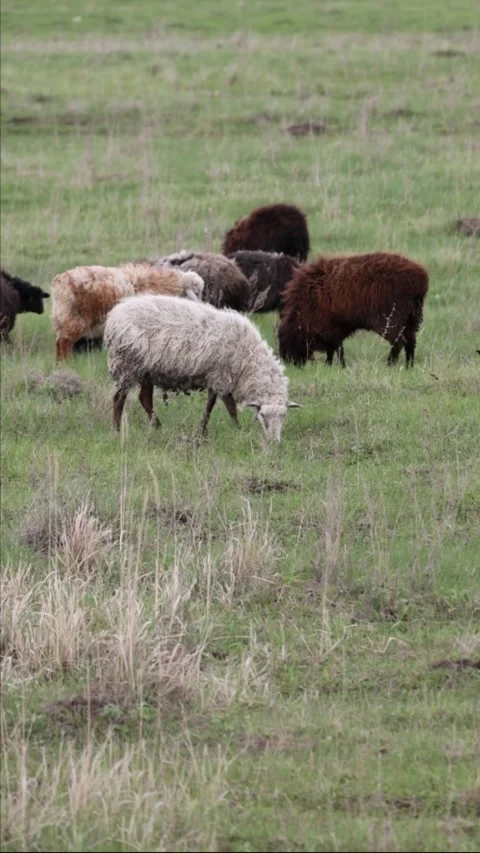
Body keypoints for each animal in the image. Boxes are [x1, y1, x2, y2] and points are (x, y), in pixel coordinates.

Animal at [51, 263, 204, 360]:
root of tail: (59, 282)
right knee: (64, 344)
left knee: (59, 345)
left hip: (62, 319)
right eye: (196, 292)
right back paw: (66, 364)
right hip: (74, 319)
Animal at [104, 294, 301, 442]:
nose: (274, 442)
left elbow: (214, 406)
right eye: (263, 417)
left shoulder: (217, 377)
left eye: (284, 416)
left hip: (146, 370)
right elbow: (225, 406)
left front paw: (207, 429)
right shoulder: (220, 376)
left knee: (145, 399)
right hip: (127, 364)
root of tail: (115, 315)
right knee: (118, 399)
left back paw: (157, 426)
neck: (248, 360)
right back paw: (116, 429)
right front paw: (233, 428)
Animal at [277, 252, 429, 368]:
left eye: (288, 338)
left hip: (391, 320)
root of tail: (420, 278)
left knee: (399, 342)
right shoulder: (336, 328)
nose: (292, 364)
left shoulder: (332, 327)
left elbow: (337, 349)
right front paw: (332, 366)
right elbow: (334, 349)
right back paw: (409, 366)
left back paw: (389, 365)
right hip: (411, 319)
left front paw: (338, 366)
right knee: (411, 342)